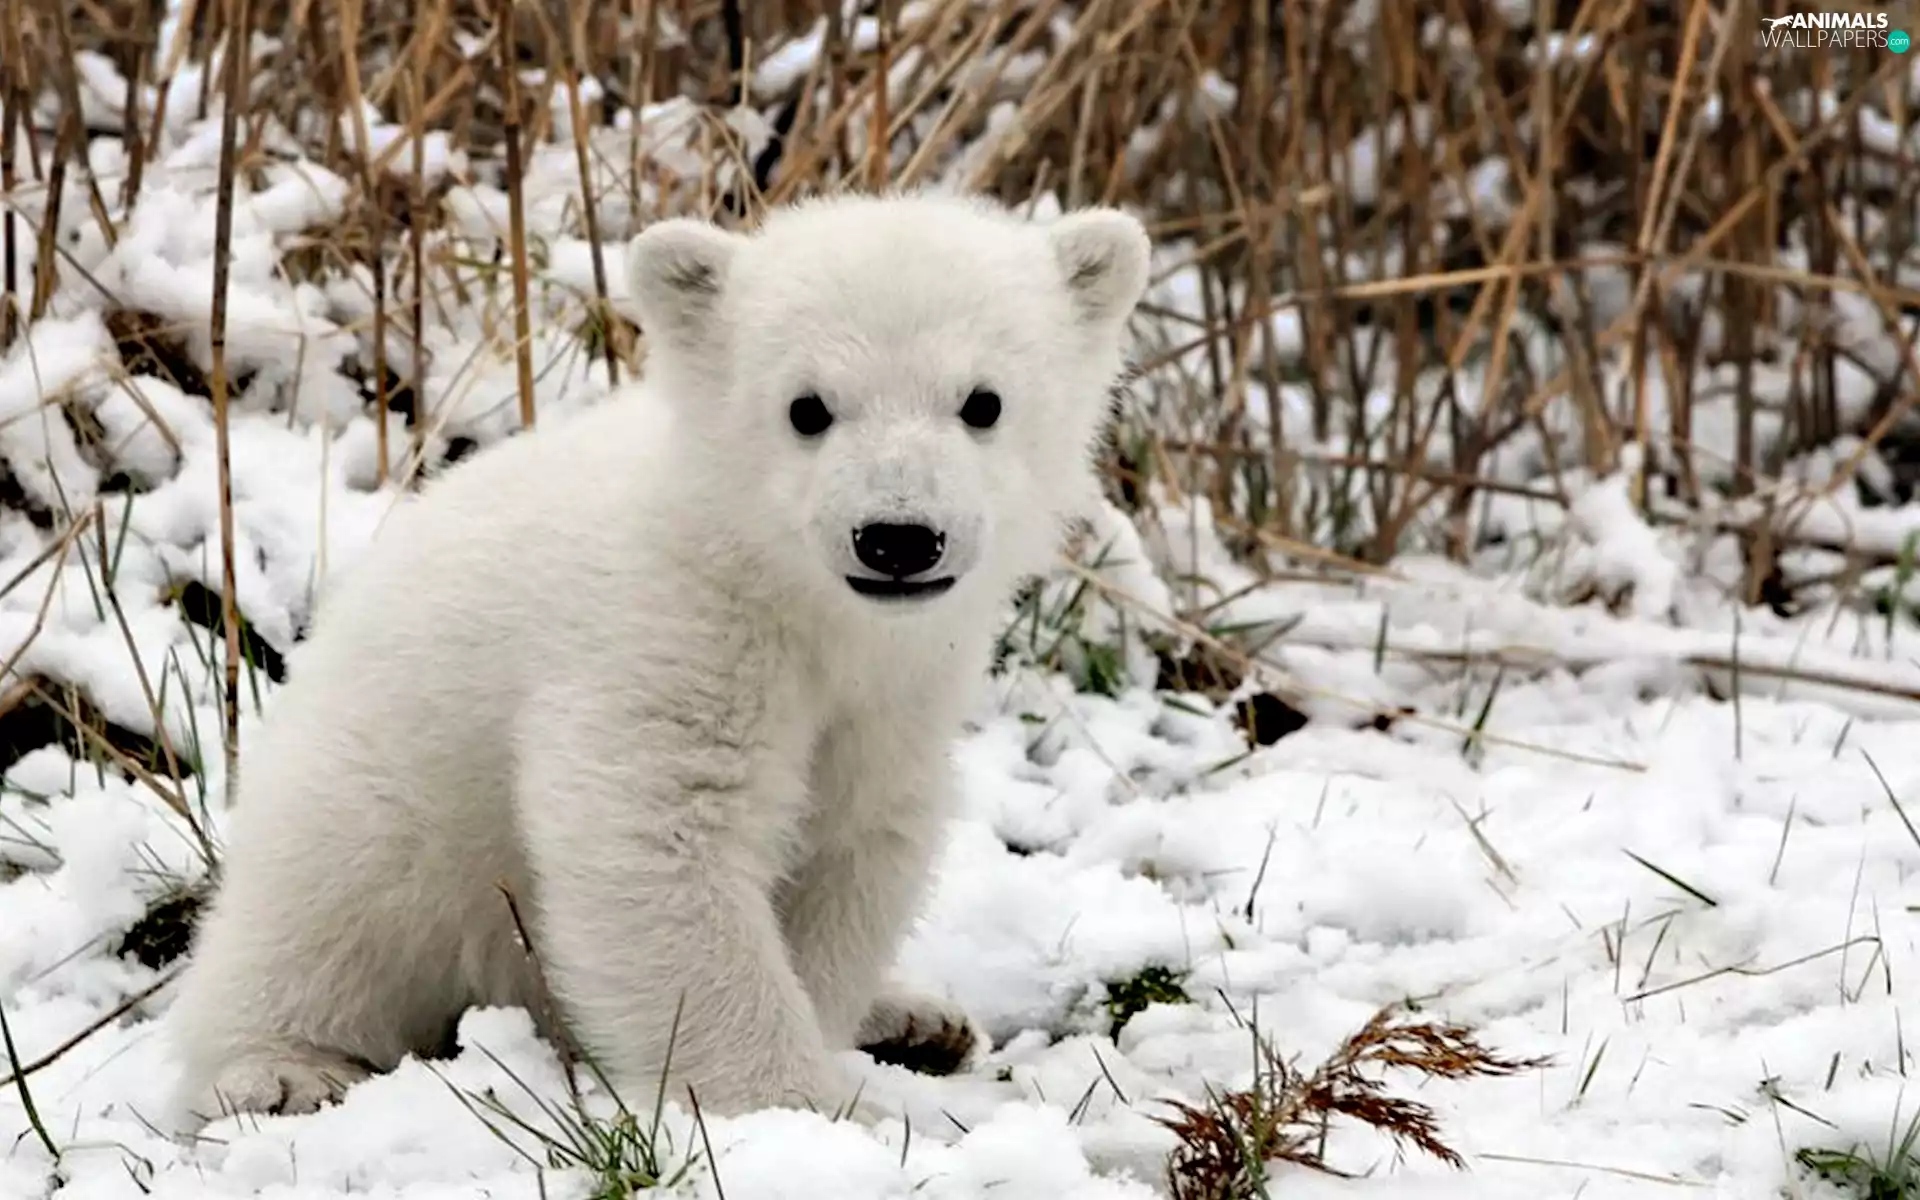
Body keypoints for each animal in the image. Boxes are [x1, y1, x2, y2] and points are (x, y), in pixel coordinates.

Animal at [163, 189, 1151, 1124]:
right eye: (807, 407)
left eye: (983, 401)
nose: (898, 537)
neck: (781, 587)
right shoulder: (665, 637)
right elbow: (657, 838)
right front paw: (795, 1109)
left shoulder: (896, 694)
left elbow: (853, 844)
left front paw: (840, 1040)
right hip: (381, 795)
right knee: (323, 915)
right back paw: (281, 1068)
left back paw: (917, 1016)